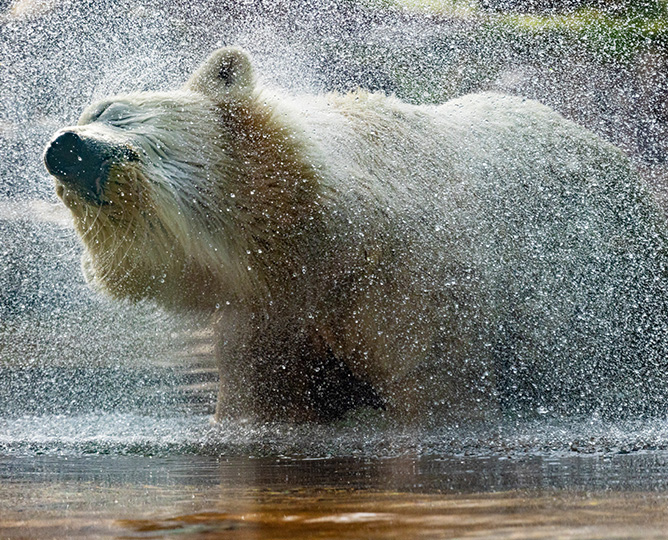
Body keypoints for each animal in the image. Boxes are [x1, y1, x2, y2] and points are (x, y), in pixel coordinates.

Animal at [43, 47, 668, 426]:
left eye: (113, 111)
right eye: (60, 191)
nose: (62, 150)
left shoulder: (417, 284)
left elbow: (435, 392)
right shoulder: (270, 314)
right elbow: (264, 403)